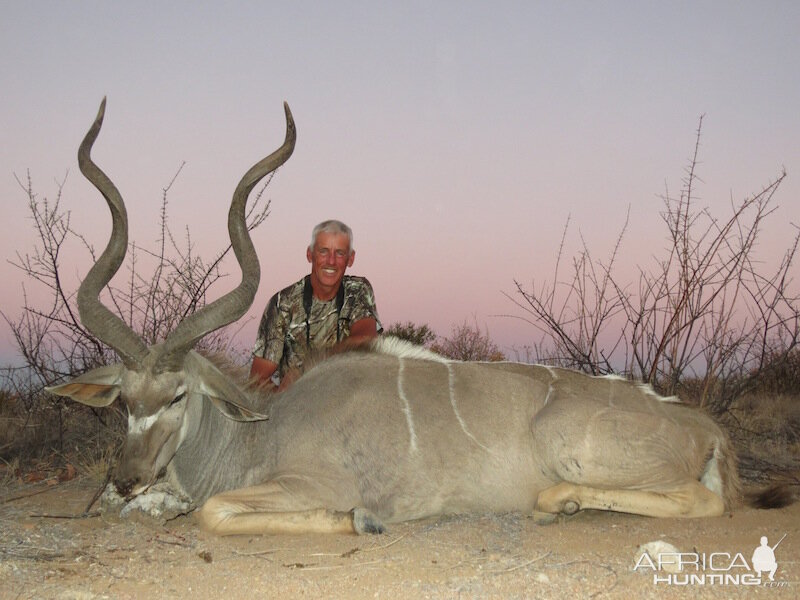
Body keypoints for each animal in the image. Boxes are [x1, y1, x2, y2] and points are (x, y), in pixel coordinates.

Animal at [48, 101, 776, 536]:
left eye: (177, 395)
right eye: (124, 401)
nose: (124, 475)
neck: (260, 433)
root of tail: (706, 427)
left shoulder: (309, 483)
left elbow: (217, 511)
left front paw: (352, 522)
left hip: (570, 445)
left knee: (703, 500)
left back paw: (561, 501)